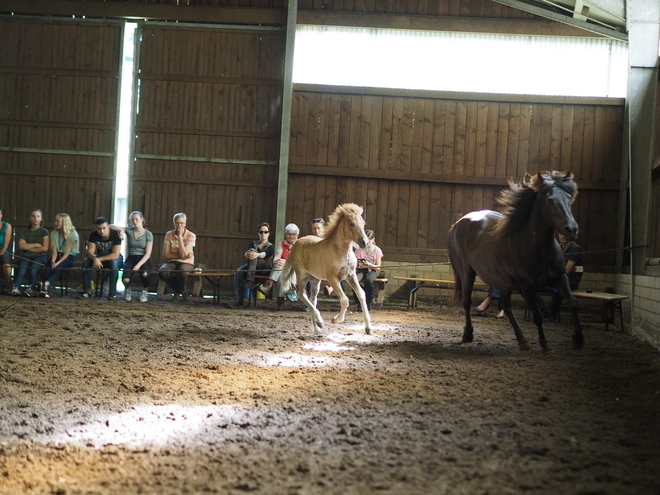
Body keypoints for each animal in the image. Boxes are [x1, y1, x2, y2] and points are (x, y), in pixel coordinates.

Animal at [448, 172, 584, 350]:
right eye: (550, 200)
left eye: (569, 198)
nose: (572, 229)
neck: (538, 250)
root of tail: (458, 223)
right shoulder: (527, 289)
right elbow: (537, 316)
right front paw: (544, 344)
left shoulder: (560, 278)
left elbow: (573, 303)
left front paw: (578, 338)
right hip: (467, 273)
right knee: (467, 301)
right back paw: (468, 334)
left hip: (502, 281)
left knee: (506, 305)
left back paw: (522, 339)